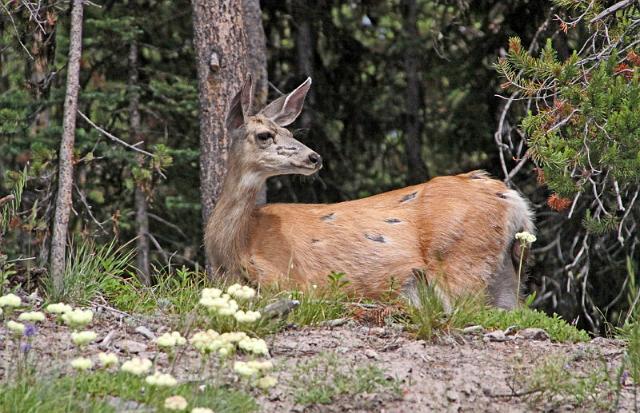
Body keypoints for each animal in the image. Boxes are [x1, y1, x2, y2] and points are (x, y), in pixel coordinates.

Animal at [205, 76, 536, 308]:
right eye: (265, 135)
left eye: (289, 132)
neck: (234, 243)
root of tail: (513, 200)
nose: (314, 157)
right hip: (508, 272)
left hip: (459, 260)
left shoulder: (286, 280)